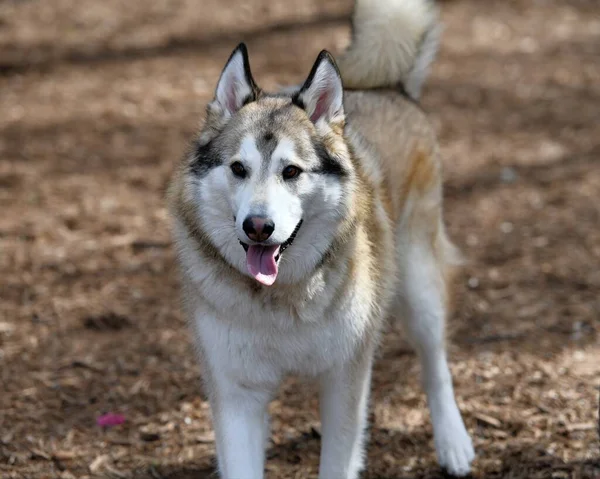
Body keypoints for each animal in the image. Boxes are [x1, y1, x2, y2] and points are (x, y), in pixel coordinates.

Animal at [168, 0, 474, 476]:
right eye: (238, 168)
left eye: (291, 171)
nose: (258, 226)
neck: (282, 300)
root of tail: (389, 87)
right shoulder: (236, 395)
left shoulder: (344, 381)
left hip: (418, 287)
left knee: (435, 363)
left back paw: (454, 444)